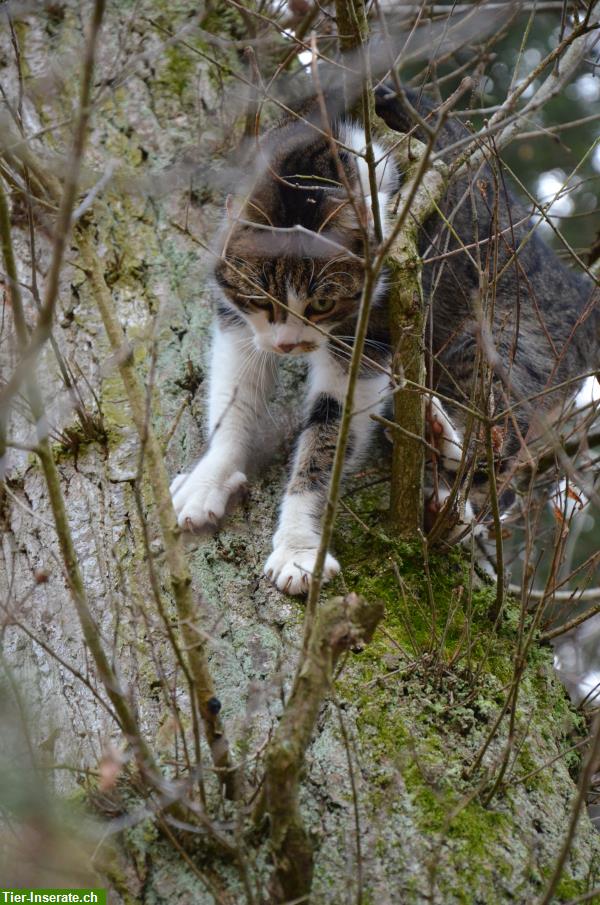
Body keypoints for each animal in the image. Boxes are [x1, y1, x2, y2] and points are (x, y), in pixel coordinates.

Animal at [171, 85, 596, 592]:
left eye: (323, 303)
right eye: (261, 298)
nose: (288, 346)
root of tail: (578, 289)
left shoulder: (374, 327)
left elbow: (328, 433)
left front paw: (298, 549)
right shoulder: (238, 322)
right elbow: (235, 395)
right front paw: (208, 480)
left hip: (513, 344)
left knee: (496, 450)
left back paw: (447, 476)